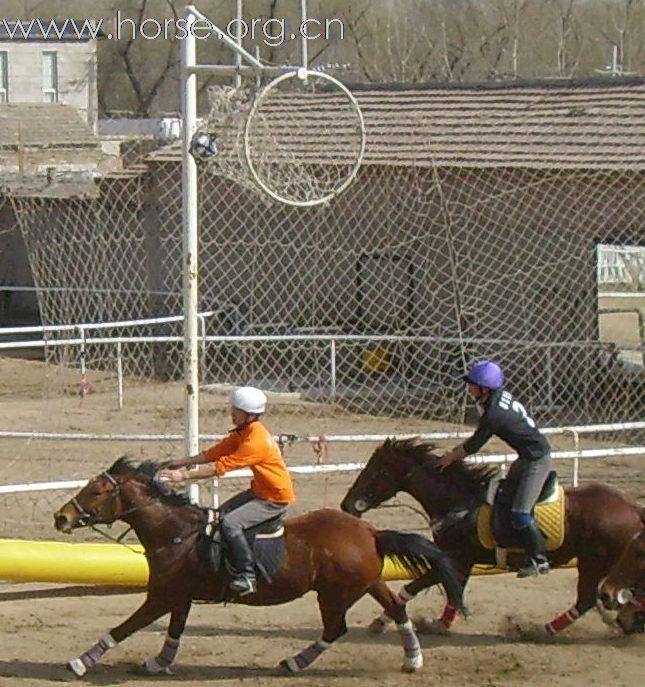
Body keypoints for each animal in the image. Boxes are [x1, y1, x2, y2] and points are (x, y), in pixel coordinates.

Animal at [51, 456, 462, 676]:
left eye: (97, 491)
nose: (61, 517)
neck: (177, 533)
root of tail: (370, 531)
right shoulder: (180, 596)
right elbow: (175, 632)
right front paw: (159, 662)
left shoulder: (162, 595)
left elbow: (123, 628)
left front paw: (80, 662)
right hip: (369, 582)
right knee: (395, 607)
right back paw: (413, 659)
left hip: (334, 593)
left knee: (336, 628)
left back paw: (297, 661)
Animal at [340, 440, 640, 640]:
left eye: (374, 472)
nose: (346, 505)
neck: (460, 502)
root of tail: (632, 507)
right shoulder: (459, 561)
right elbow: (450, 591)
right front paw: (439, 623)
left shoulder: (457, 558)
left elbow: (416, 587)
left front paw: (382, 622)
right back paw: (627, 623)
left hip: (592, 562)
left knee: (586, 599)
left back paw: (540, 630)